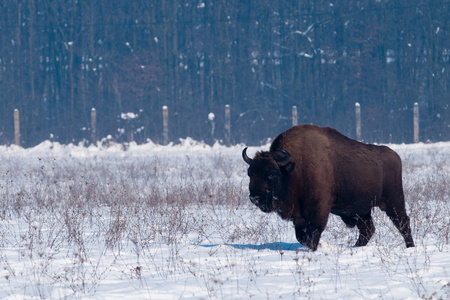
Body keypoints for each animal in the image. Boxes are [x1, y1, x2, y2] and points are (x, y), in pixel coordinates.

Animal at [243, 124, 414, 251]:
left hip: (394, 201)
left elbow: (313, 233)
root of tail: (395, 156)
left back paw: (410, 247)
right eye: (250, 173)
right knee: (368, 229)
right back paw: (355, 247)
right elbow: (301, 236)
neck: (293, 168)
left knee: (403, 223)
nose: (254, 197)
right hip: (362, 210)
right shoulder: (299, 218)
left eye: (271, 174)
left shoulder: (319, 209)